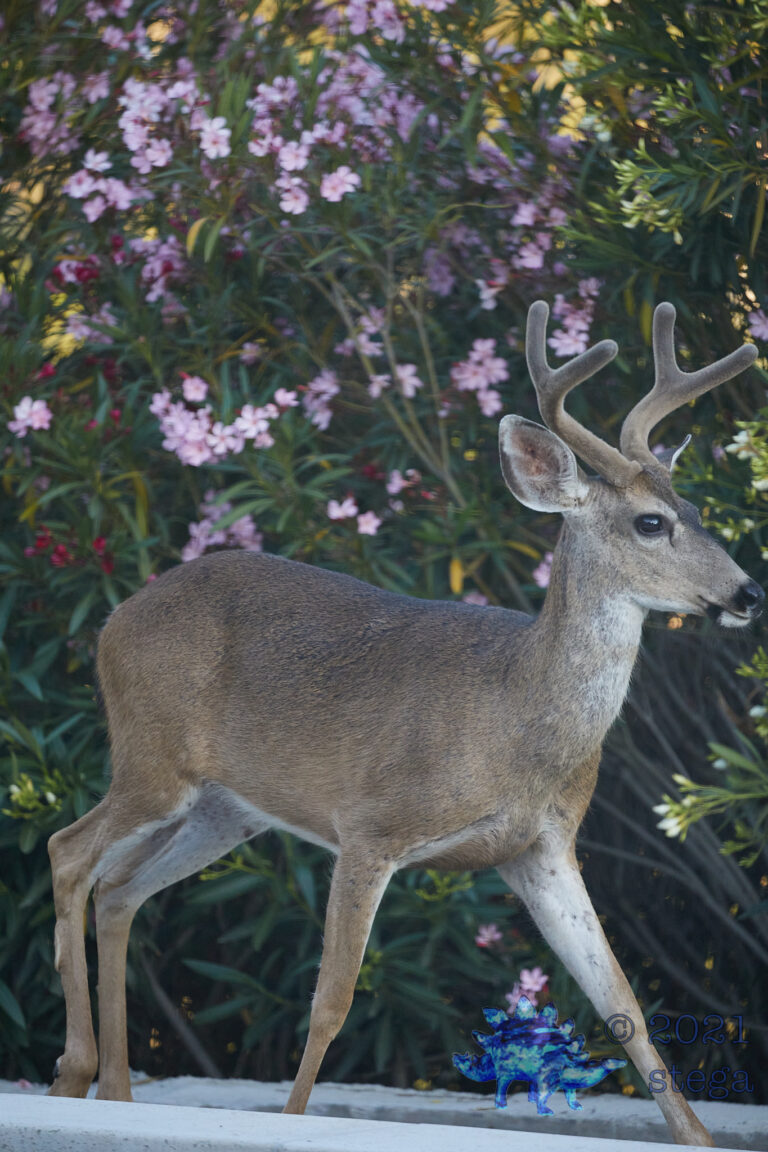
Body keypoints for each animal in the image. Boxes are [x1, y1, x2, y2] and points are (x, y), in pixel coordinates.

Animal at [46, 300, 761, 1146]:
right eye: (651, 523)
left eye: (698, 512)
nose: (748, 593)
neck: (516, 716)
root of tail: (114, 619)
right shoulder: (371, 827)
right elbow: (331, 1004)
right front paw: (291, 1120)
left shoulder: (543, 847)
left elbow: (625, 1008)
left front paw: (697, 1136)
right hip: (152, 757)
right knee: (68, 852)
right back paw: (73, 1072)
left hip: (226, 810)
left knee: (120, 889)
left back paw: (118, 1094)